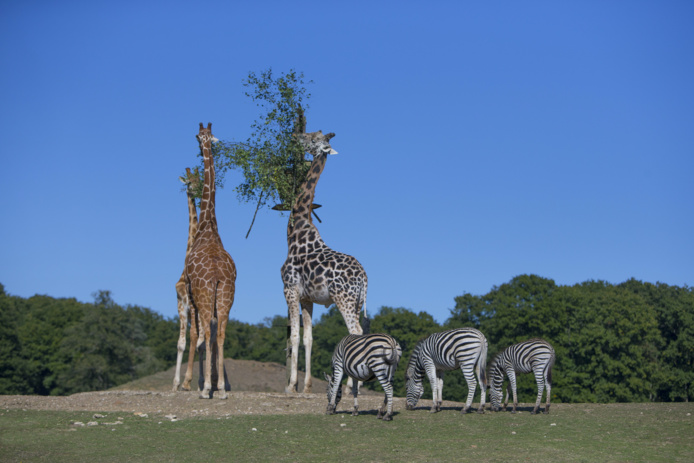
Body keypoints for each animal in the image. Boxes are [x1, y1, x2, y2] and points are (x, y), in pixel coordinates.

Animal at [173, 169, 230, 394]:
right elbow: (196, 340)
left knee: (200, 337)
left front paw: (185, 382)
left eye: (197, 179)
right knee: (212, 336)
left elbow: (188, 339)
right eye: (189, 181)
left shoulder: (184, 301)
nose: (196, 188)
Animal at [282, 130, 370, 396]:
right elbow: (309, 338)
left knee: (356, 332)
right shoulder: (307, 298)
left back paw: (352, 386)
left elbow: (294, 336)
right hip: (356, 301)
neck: (295, 232)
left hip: (344, 299)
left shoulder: (289, 290)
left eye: (312, 139)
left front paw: (291, 386)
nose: (297, 136)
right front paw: (307, 386)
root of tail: (364, 278)